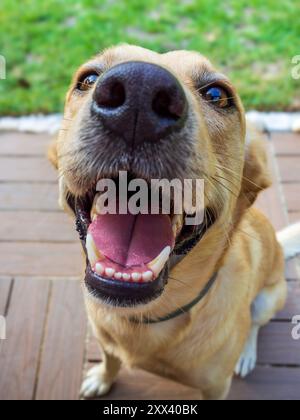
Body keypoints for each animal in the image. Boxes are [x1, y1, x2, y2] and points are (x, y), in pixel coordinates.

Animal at [49, 44, 300, 398]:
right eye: (88, 78)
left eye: (217, 94)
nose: (140, 88)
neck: (144, 318)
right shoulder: (105, 338)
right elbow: (111, 359)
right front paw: (102, 377)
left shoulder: (216, 387)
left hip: (268, 299)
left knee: (254, 324)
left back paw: (247, 353)